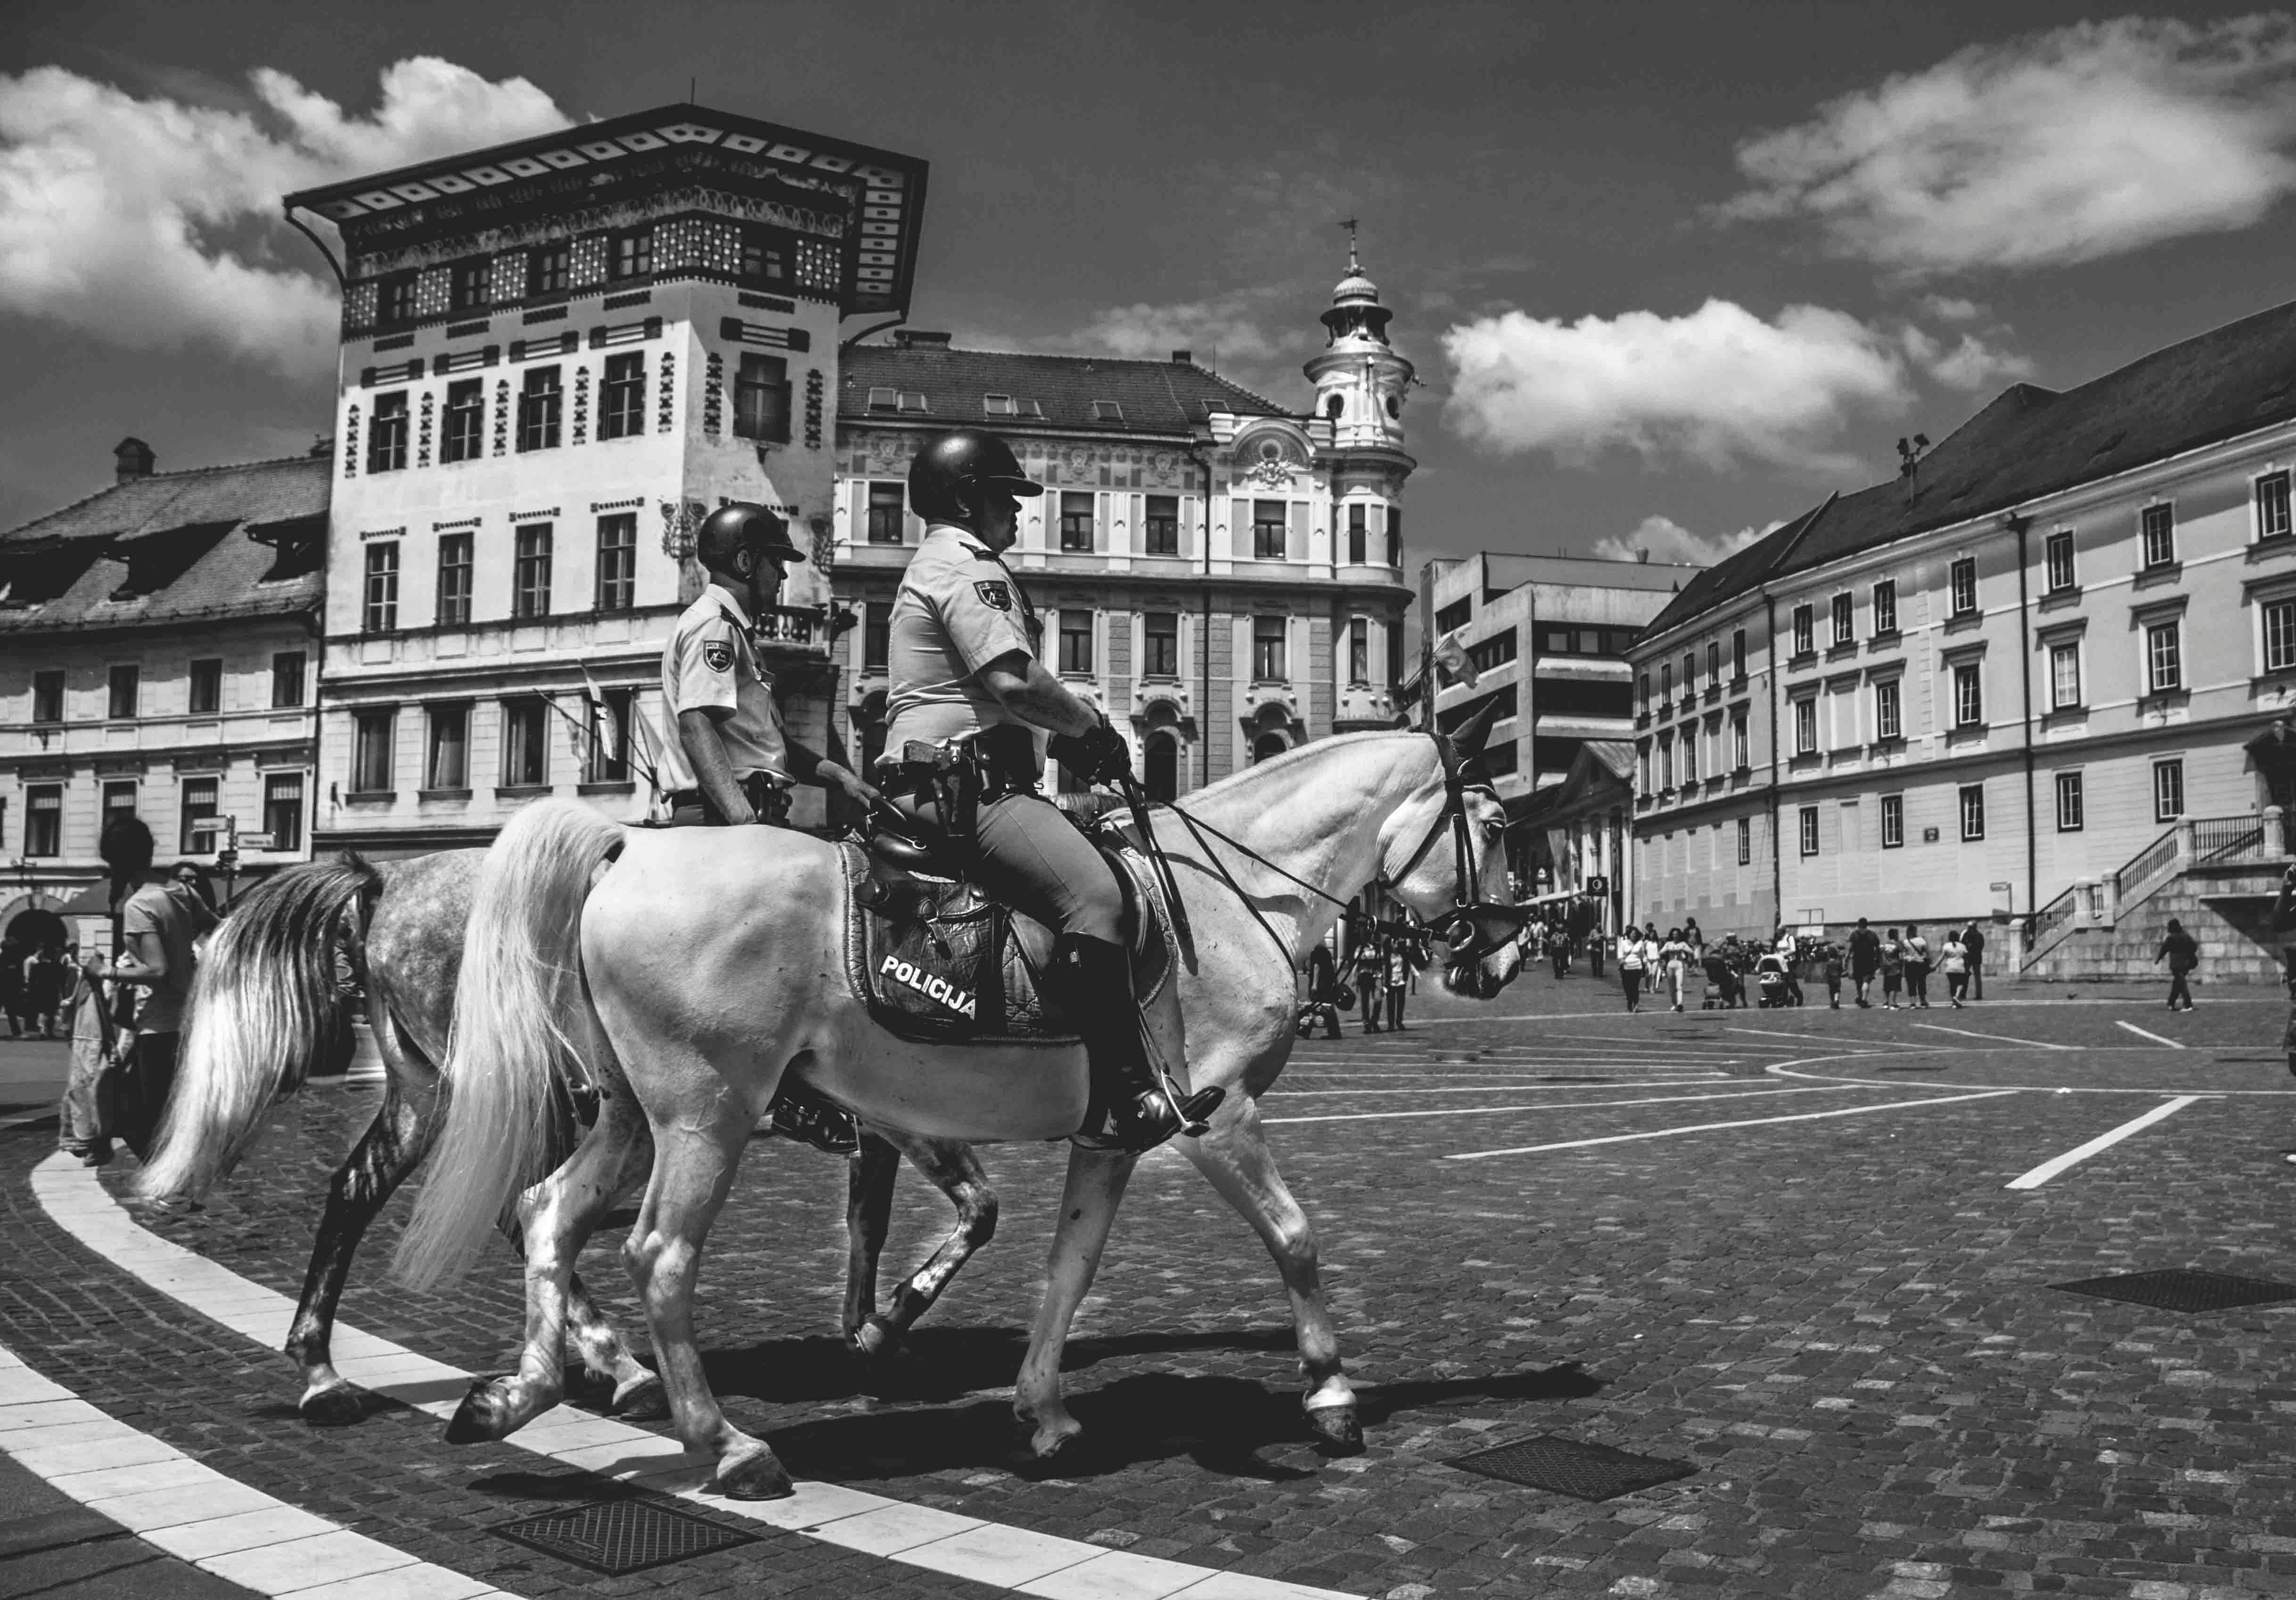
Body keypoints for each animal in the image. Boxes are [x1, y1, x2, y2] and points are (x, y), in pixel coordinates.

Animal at [394, 725, 1525, 1496]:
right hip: (704, 1115)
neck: (1231, 894)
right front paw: (1331, 1396)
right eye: (1498, 825)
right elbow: (1295, 1238)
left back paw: (517, 1394)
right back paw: (729, 1445)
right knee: (658, 1256)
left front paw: (1042, 1410)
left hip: (630, 1116)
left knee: (548, 1213)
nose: (1504, 954)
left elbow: (1069, 1269)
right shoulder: (1220, 1114)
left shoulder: (1114, 1136)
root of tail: (627, 847)